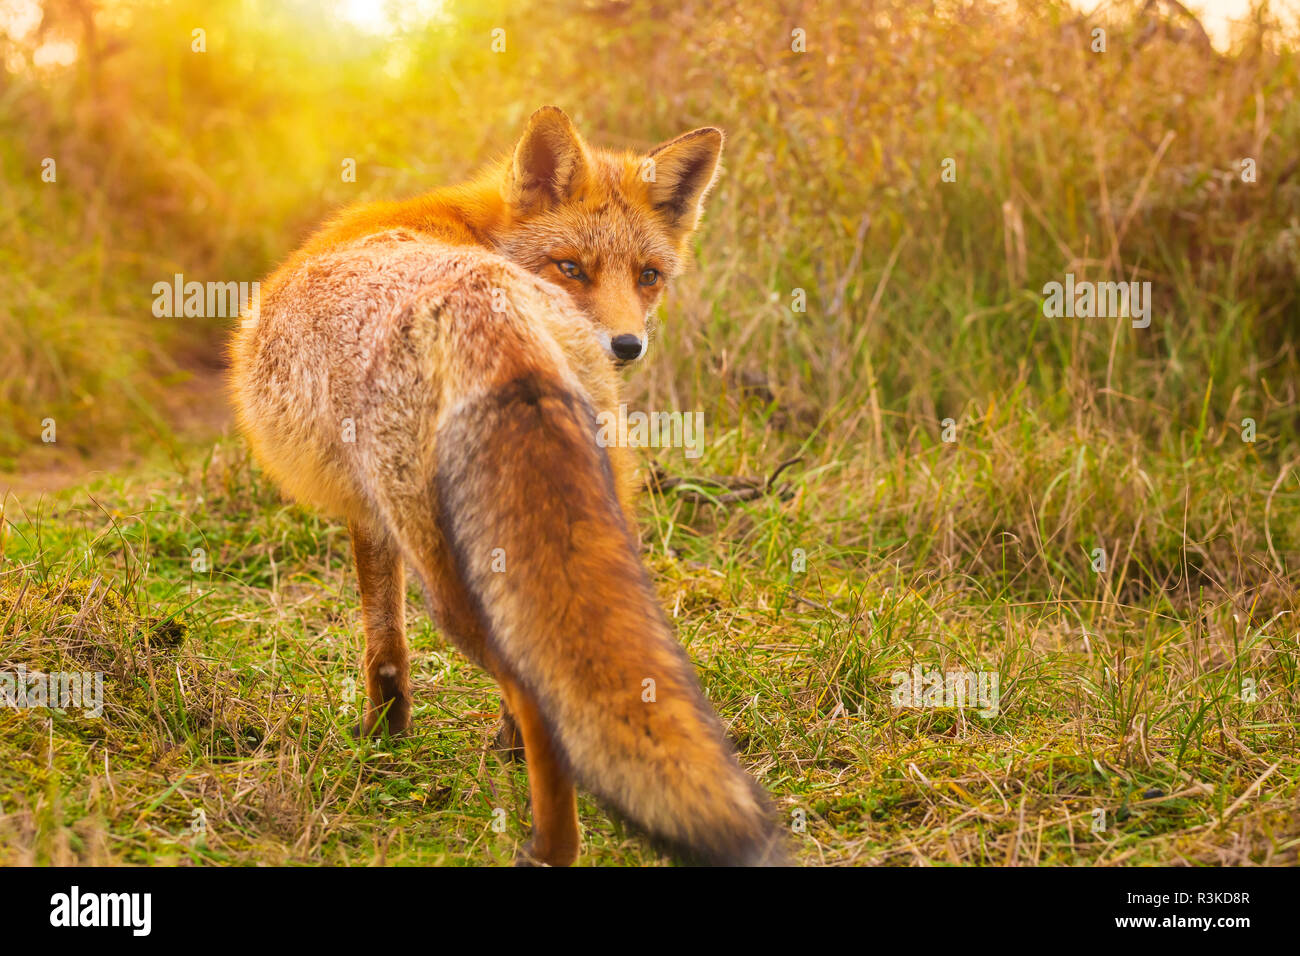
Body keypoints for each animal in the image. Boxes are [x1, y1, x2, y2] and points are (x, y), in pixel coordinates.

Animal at [226, 106, 780, 868]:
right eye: (571, 267)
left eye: (647, 276)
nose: (626, 347)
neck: (476, 232)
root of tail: (487, 300)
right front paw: (458, 745)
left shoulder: (370, 515)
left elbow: (383, 643)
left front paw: (381, 740)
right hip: (591, 519)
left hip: (450, 571)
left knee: (529, 684)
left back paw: (550, 847)